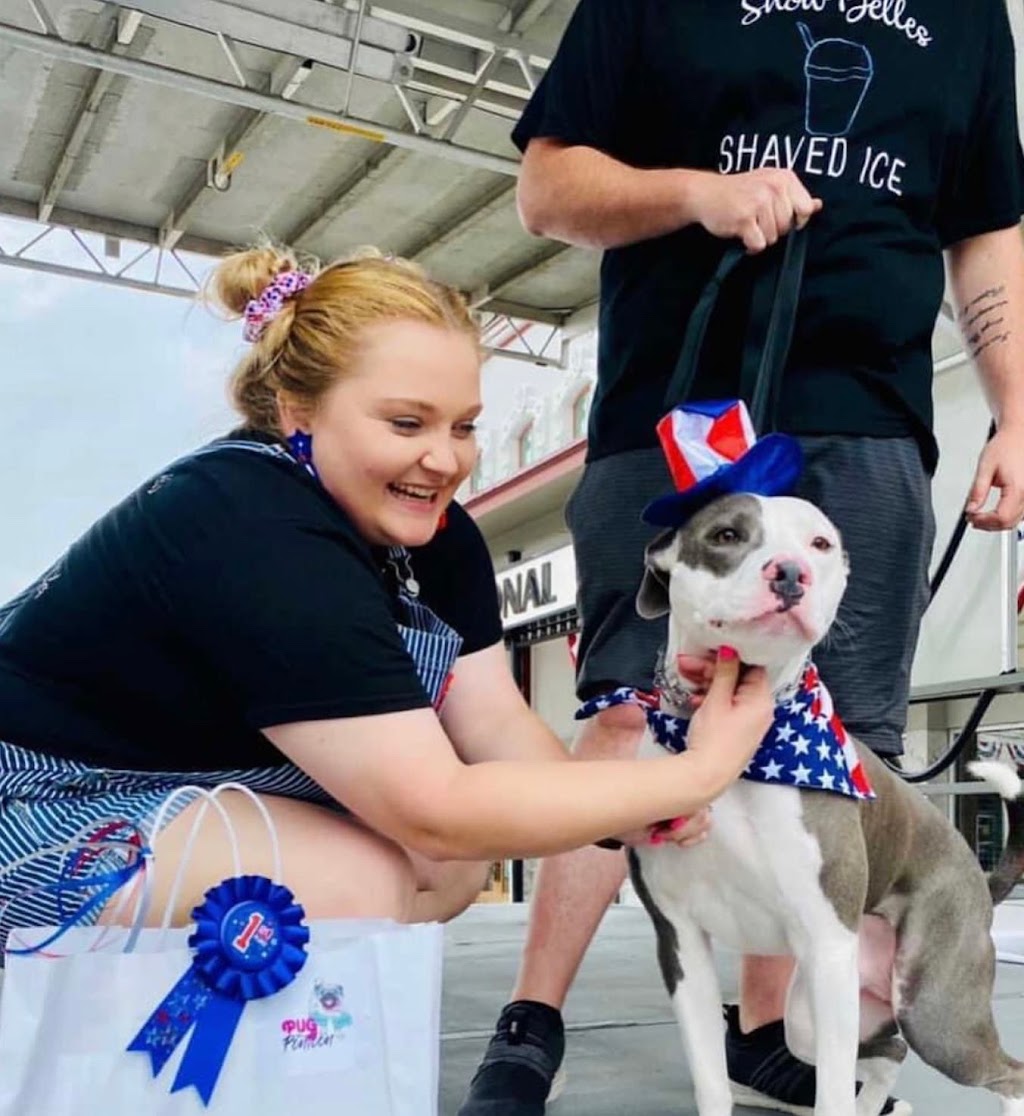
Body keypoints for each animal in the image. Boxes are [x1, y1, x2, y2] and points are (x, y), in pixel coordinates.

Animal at [629, 493, 1024, 1116]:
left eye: (819, 543)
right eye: (724, 535)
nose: (791, 572)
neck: (747, 744)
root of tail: (979, 878)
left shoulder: (826, 946)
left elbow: (834, 1089)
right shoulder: (682, 944)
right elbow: (712, 1082)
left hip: (934, 1010)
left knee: (1007, 1072)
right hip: (813, 1017)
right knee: (889, 1050)